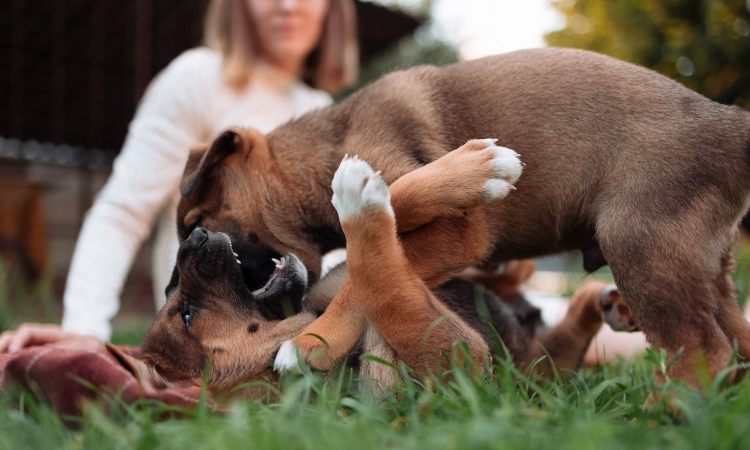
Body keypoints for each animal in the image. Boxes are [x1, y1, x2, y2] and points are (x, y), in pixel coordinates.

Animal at [175, 47, 750, 388]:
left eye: (198, 216)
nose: (190, 246)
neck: (332, 139)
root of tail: (730, 124)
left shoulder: (464, 229)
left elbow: (382, 233)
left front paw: (312, 343)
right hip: (696, 264)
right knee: (731, 340)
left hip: (636, 241)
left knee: (702, 347)